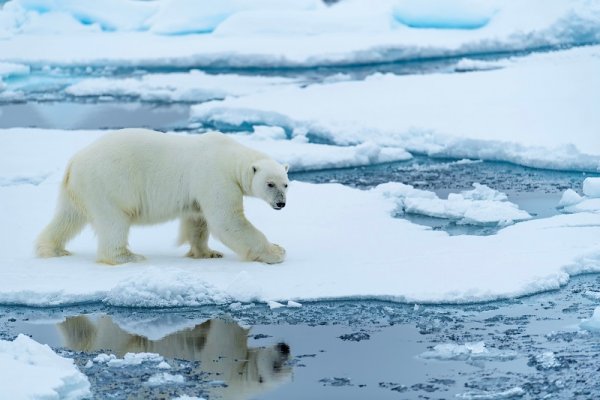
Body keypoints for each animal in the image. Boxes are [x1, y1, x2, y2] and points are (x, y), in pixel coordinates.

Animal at [36, 129, 290, 266]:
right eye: (270, 184)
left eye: (286, 184)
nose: (281, 203)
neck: (230, 158)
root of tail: (74, 161)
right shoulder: (216, 178)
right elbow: (228, 220)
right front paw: (276, 251)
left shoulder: (198, 190)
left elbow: (198, 221)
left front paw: (208, 253)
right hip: (109, 183)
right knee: (114, 221)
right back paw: (129, 256)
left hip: (79, 189)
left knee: (68, 217)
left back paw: (52, 249)